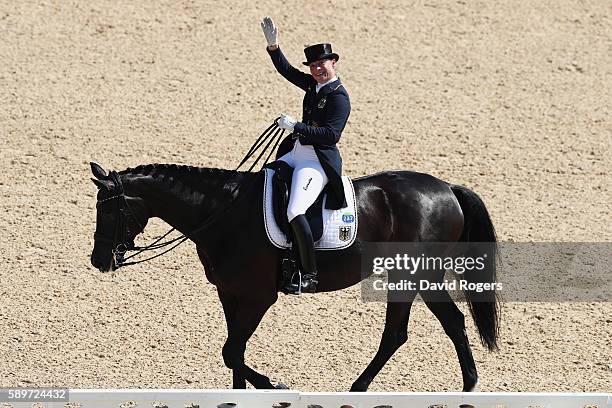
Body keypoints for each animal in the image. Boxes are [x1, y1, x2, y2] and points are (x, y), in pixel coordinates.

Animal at [92, 163, 502, 392]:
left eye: (110, 212)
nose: (99, 261)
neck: (223, 213)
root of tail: (447, 189)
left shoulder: (258, 296)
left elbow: (231, 351)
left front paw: (274, 385)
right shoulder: (229, 292)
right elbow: (234, 351)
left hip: (414, 274)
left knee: (409, 331)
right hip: (416, 277)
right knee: (438, 325)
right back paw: (462, 387)